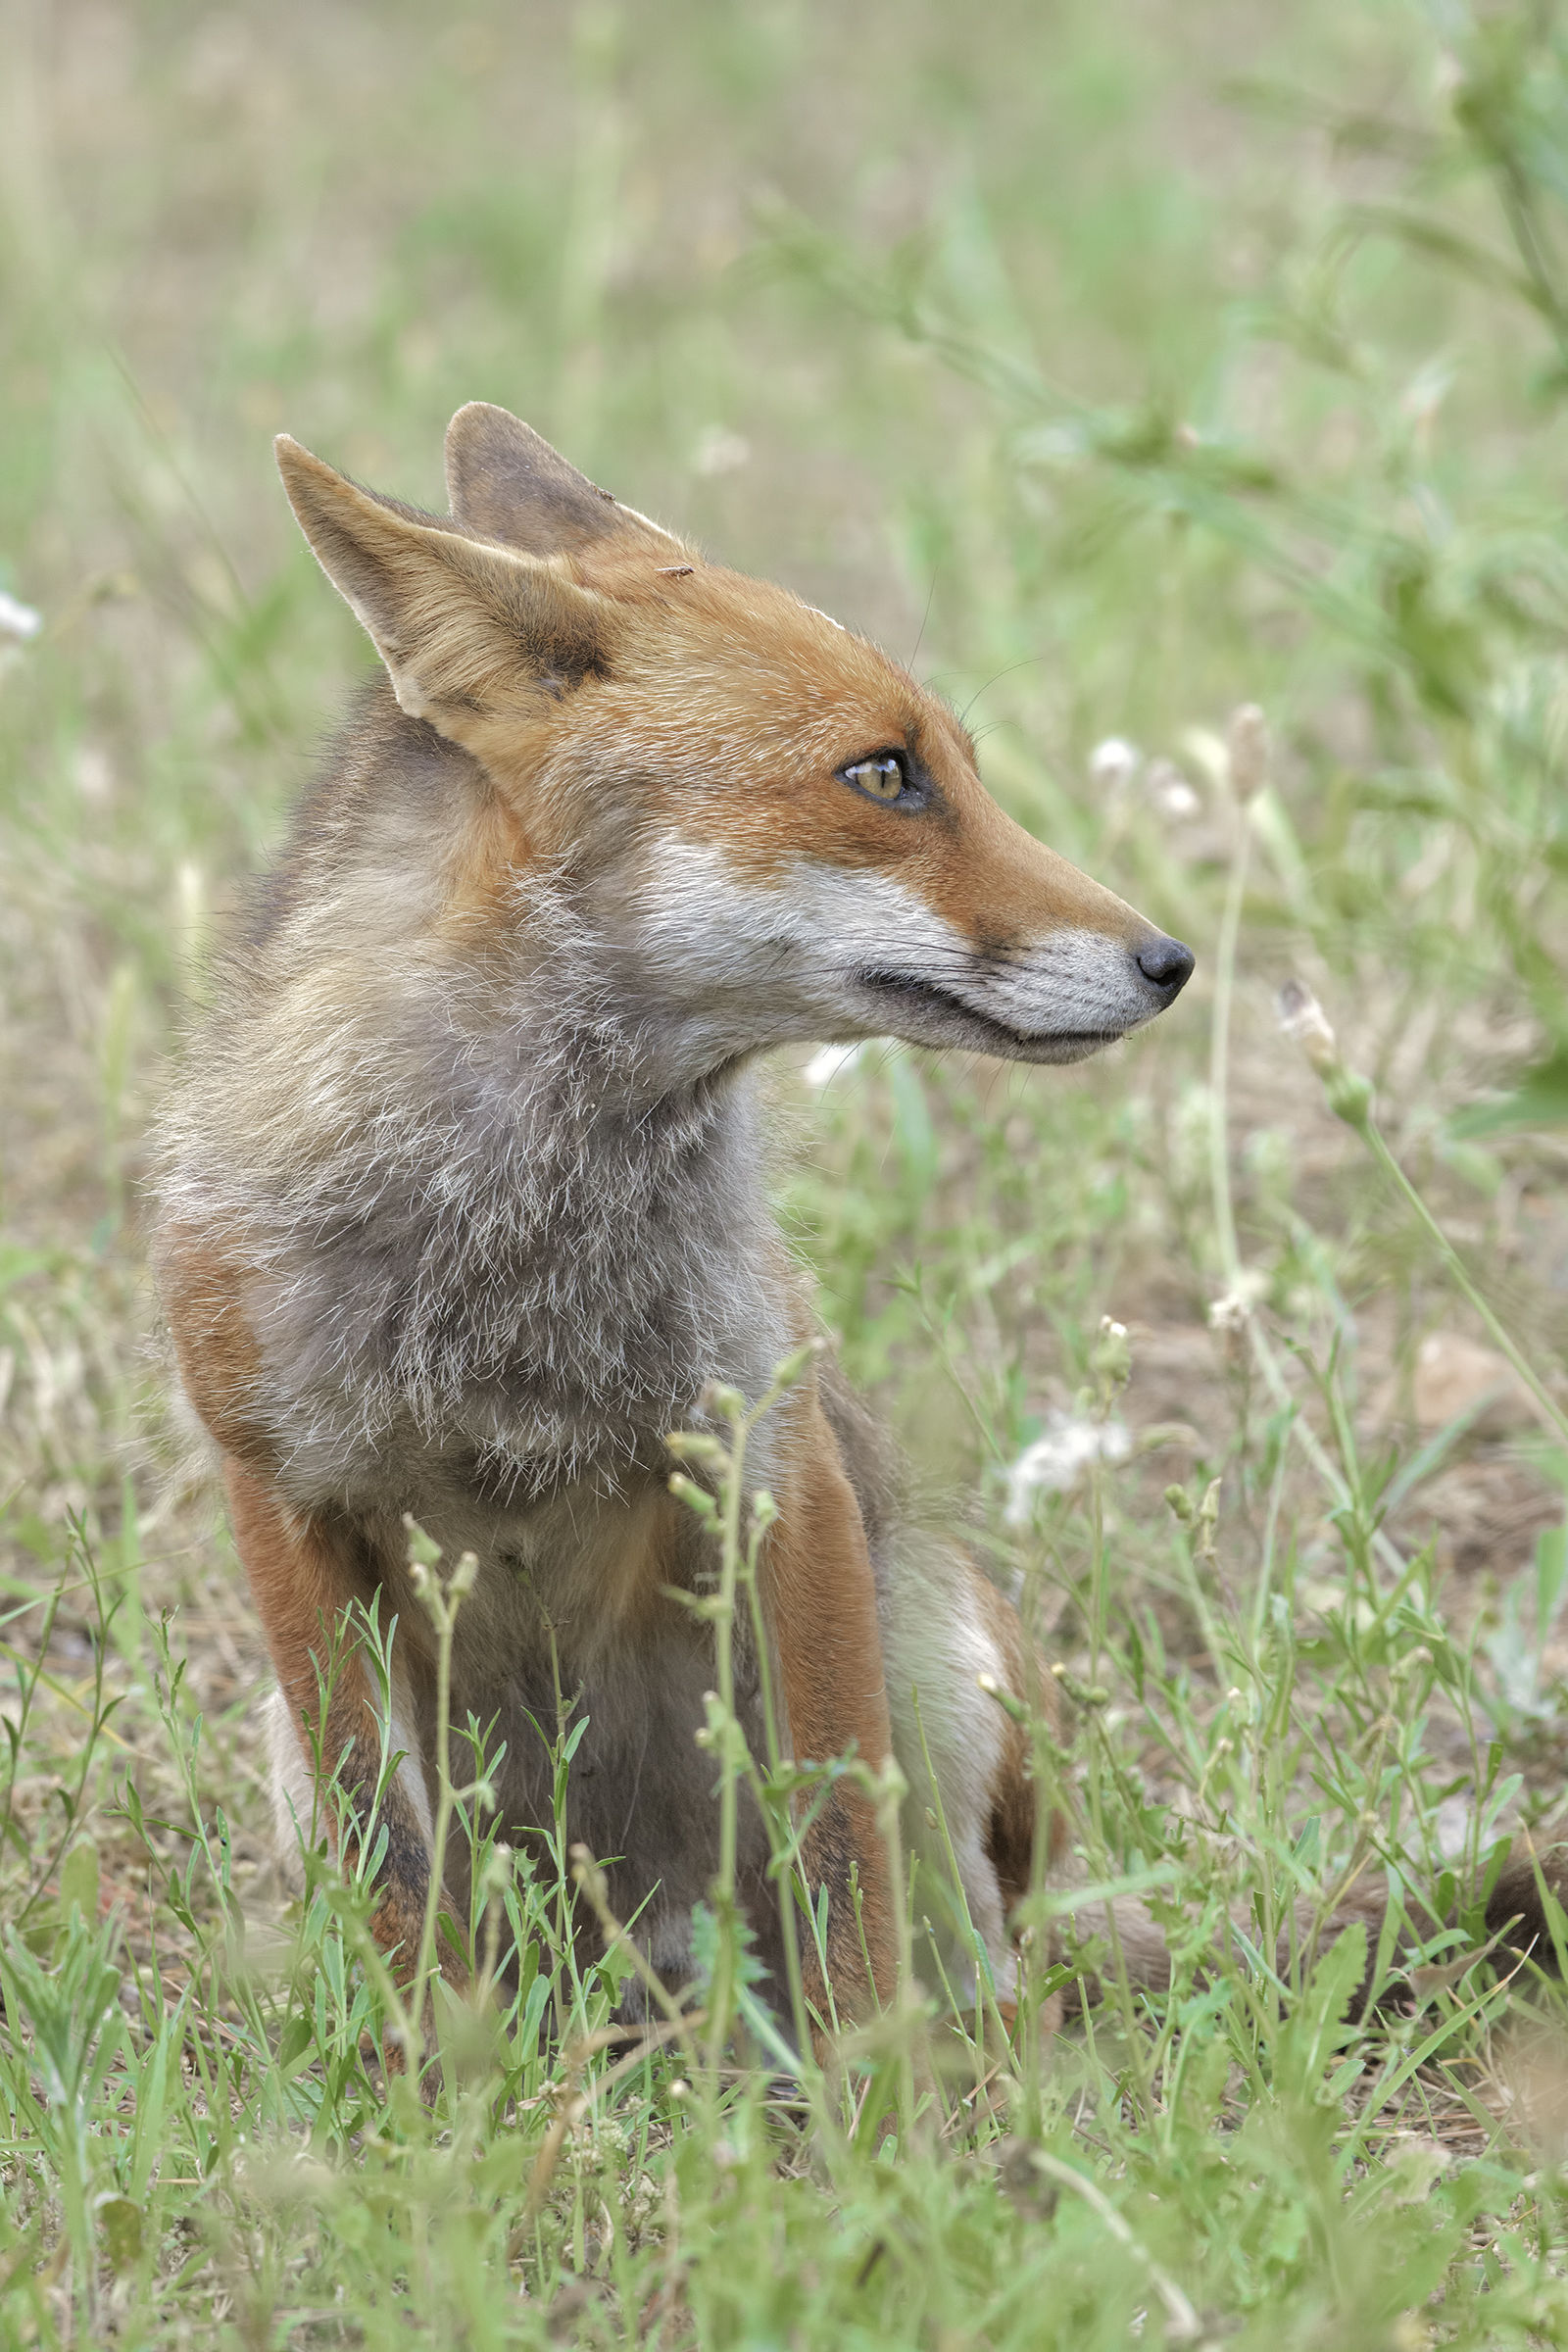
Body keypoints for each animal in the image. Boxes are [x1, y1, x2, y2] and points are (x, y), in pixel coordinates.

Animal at [154, 404, 1560, 2045]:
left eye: (954, 765)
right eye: (886, 775)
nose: (1172, 961)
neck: (507, 1234)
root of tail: (659, 1969)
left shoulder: (775, 1465)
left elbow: (839, 1859)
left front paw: (866, 2103)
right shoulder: (282, 1492)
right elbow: (392, 1871)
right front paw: (441, 2079)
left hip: (944, 1656)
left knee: (981, 1965)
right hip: (301, 1750)